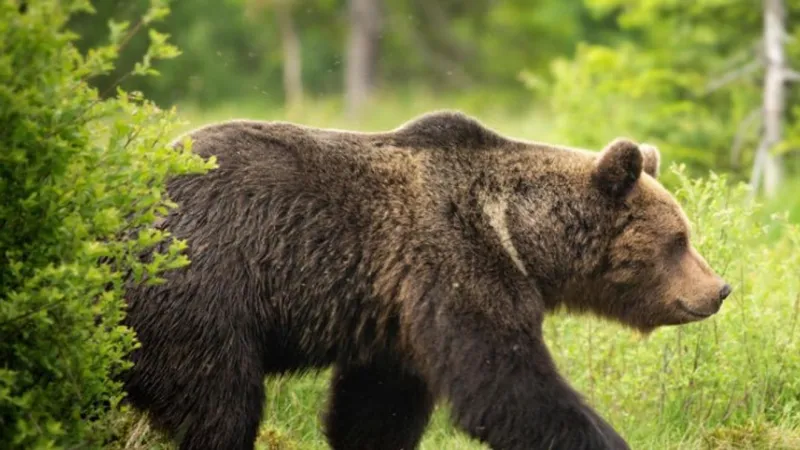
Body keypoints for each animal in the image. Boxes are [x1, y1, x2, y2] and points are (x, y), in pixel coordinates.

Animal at [120, 110, 732, 450]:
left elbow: (378, 409)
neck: (519, 234)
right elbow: (507, 383)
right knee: (221, 404)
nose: (719, 289)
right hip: (198, 295)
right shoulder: (456, 264)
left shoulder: (397, 314)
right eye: (679, 240)